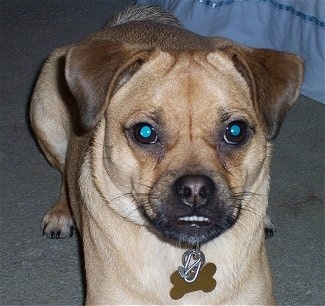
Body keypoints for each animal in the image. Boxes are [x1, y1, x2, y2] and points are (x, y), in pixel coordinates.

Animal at [29, 5, 302, 304]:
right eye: (145, 132)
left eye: (236, 131)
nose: (195, 190)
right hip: (46, 114)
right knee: (64, 172)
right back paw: (61, 211)